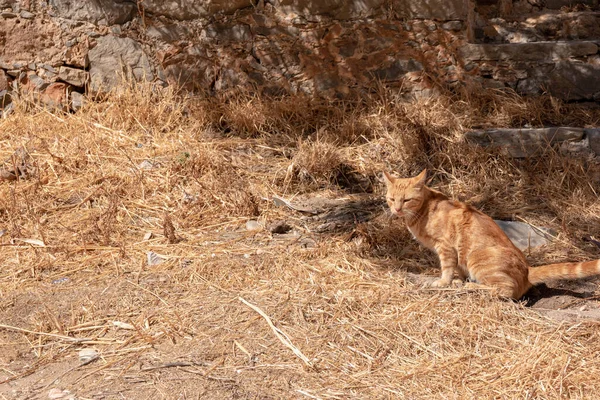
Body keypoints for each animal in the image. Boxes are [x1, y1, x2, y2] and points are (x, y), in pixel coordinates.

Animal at [382, 170, 600, 300]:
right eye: (391, 199)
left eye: (407, 200)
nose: (397, 209)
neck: (424, 209)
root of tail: (527, 269)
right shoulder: (454, 253)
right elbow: (457, 269)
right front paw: (458, 280)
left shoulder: (445, 247)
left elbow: (447, 268)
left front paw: (444, 282)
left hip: (477, 258)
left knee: (505, 290)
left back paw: (472, 287)